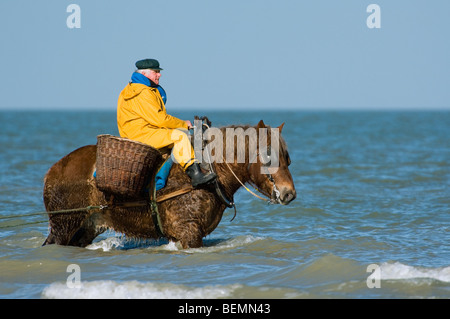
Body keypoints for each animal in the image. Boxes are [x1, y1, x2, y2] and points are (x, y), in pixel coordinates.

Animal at [41, 120, 296, 250]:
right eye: (268, 156)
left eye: (287, 157)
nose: (289, 194)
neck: (210, 170)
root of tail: (52, 170)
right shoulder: (188, 231)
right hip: (64, 224)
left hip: (86, 227)